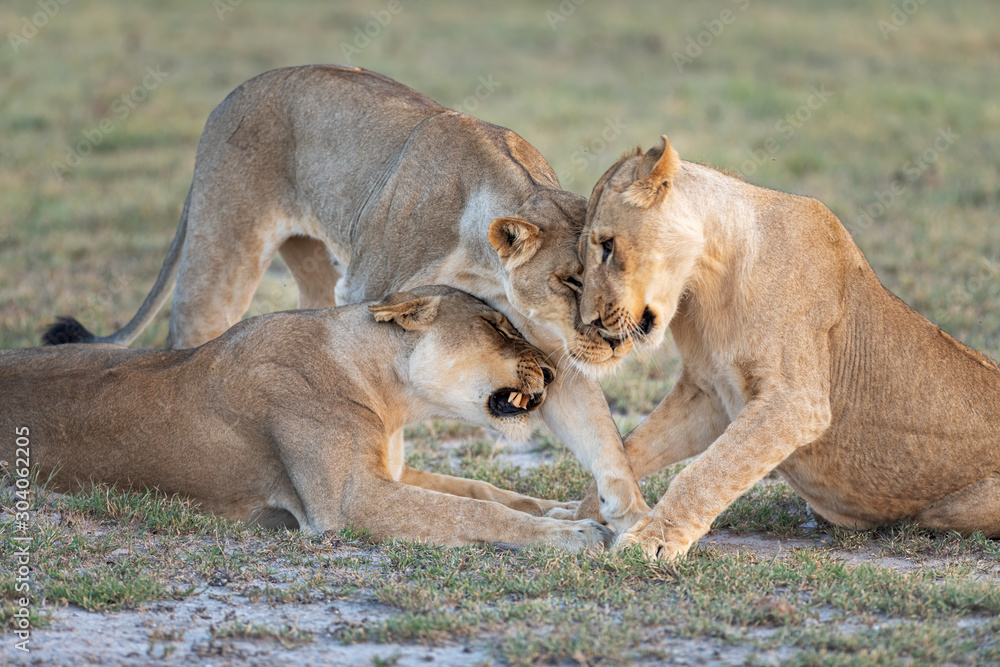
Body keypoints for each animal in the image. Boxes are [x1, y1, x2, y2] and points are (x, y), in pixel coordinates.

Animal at [3, 287, 613, 550]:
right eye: (495, 325)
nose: (553, 373)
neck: (389, 396)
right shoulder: (350, 501)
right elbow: (473, 513)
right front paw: (575, 534)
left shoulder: (388, 474)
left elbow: (485, 491)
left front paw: (564, 510)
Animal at [43, 65, 649, 533]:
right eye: (572, 281)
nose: (619, 340)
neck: (482, 255)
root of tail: (235, 91)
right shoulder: (371, 291)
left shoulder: (551, 340)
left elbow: (596, 431)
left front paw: (635, 519)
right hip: (220, 264)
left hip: (312, 264)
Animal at [576, 135, 1000, 559]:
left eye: (608, 246)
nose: (589, 320)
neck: (706, 279)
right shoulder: (708, 393)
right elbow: (630, 450)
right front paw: (579, 519)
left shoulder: (796, 403)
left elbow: (707, 471)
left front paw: (652, 539)